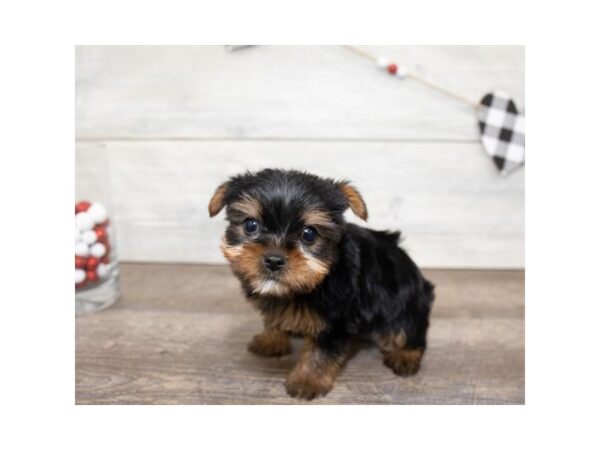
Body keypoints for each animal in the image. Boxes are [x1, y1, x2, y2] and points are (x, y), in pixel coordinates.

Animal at [209, 170, 434, 400]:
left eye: (309, 234)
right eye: (250, 225)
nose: (273, 260)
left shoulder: (336, 318)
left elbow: (320, 352)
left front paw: (307, 381)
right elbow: (274, 317)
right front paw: (271, 338)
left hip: (402, 301)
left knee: (408, 328)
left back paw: (405, 355)